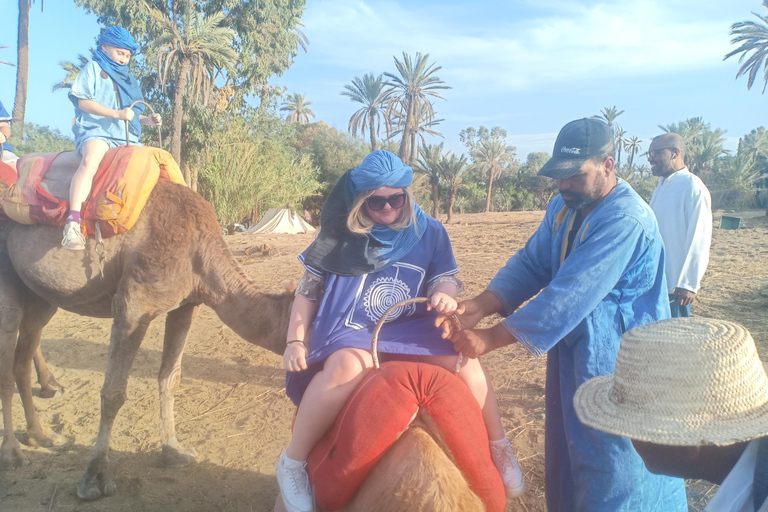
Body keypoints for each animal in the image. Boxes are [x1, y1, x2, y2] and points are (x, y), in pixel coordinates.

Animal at [0, 178, 294, 498]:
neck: (200, 250)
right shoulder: (133, 306)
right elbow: (113, 393)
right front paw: (95, 477)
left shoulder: (185, 305)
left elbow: (170, 378)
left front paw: (174, 451)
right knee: (9, 337)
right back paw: (13, 453)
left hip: (40, 292)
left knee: (23, 355)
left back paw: (41, 434)